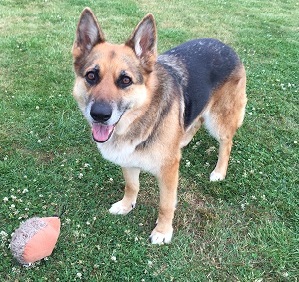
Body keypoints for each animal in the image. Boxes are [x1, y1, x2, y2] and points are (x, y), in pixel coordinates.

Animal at [71, 7, 247, 243]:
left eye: (125, 80)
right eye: (91, 76)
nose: (99, 115)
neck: (141, 117)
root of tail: (226, 46)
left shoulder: (168, 172)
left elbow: (166, 204)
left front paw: (163, 231)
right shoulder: (128, 160)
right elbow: (132, 185)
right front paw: (127, 205)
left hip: (219, 120)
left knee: (226, 143)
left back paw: (219, 171)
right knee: (195, 121)